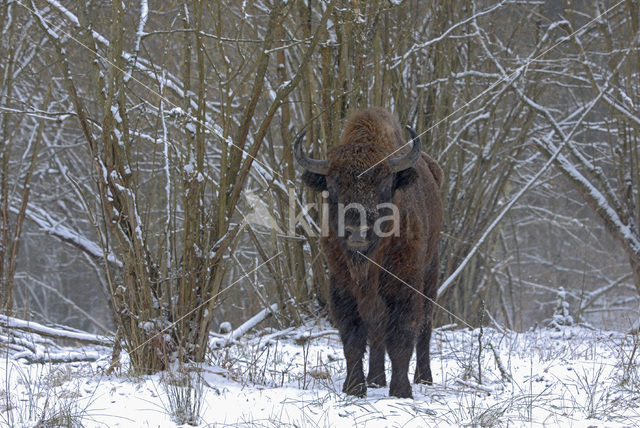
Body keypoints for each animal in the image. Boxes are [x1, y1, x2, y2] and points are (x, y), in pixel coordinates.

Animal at [294, 107, 440, 398]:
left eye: (384, 183)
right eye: (333, 185)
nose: (356, 231)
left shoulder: (405, 285)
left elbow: (403, 336)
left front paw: (401, 391)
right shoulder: (342, 286)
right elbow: (353, 338)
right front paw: (354, 388)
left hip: (432, 274)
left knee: (425, 327)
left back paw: (424, 378)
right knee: (378, 330)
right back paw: (375, 380)